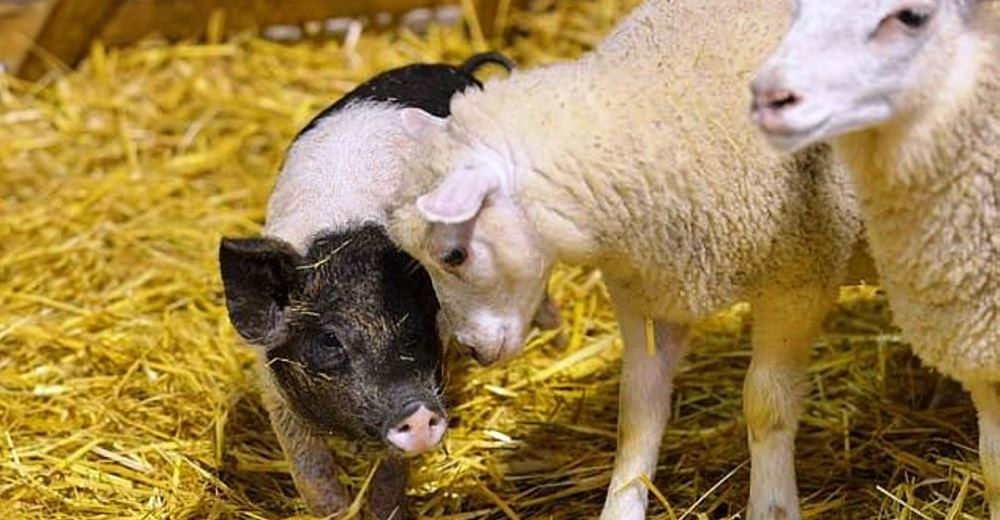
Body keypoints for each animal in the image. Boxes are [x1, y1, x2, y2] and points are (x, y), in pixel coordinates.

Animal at [386, 2, 864, 516]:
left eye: (454, 255)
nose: (471, 349)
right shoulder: (650, 291)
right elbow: (637, 412)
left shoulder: (800, 279)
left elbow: (766, 404)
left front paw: (771, 506)